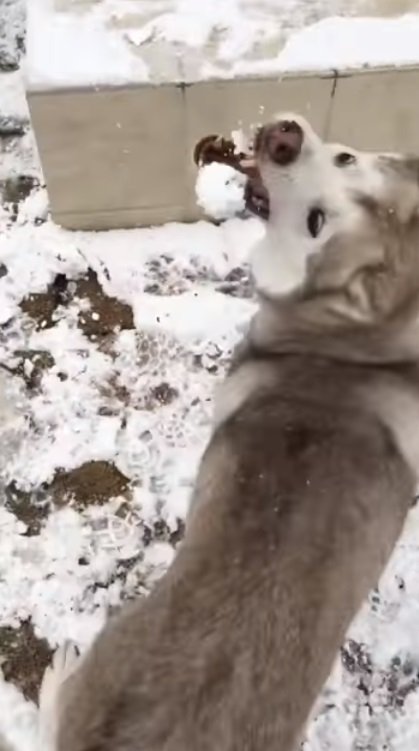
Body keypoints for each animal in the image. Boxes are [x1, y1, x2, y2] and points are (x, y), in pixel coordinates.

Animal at [44, 116, 419, 751]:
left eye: (317, 224)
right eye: (344, 158)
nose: (283, 140)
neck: (351, 345)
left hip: (104, 658)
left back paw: (57, 673)